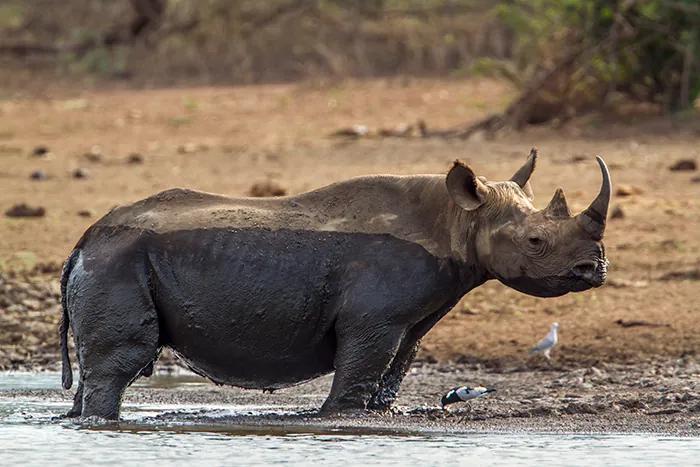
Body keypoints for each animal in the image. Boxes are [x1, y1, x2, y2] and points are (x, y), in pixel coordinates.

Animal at [59, 147, 611, 420]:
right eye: (536, 241)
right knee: (123, 359)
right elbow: (363, 363)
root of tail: (83, 240)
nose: (595, 270)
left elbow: (396, 364)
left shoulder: (410, 319)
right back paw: (103, 425)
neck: (458, 220)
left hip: (111, 261)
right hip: (118, 260)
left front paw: (382, 410)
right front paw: (340, 416)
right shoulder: (375, 316)